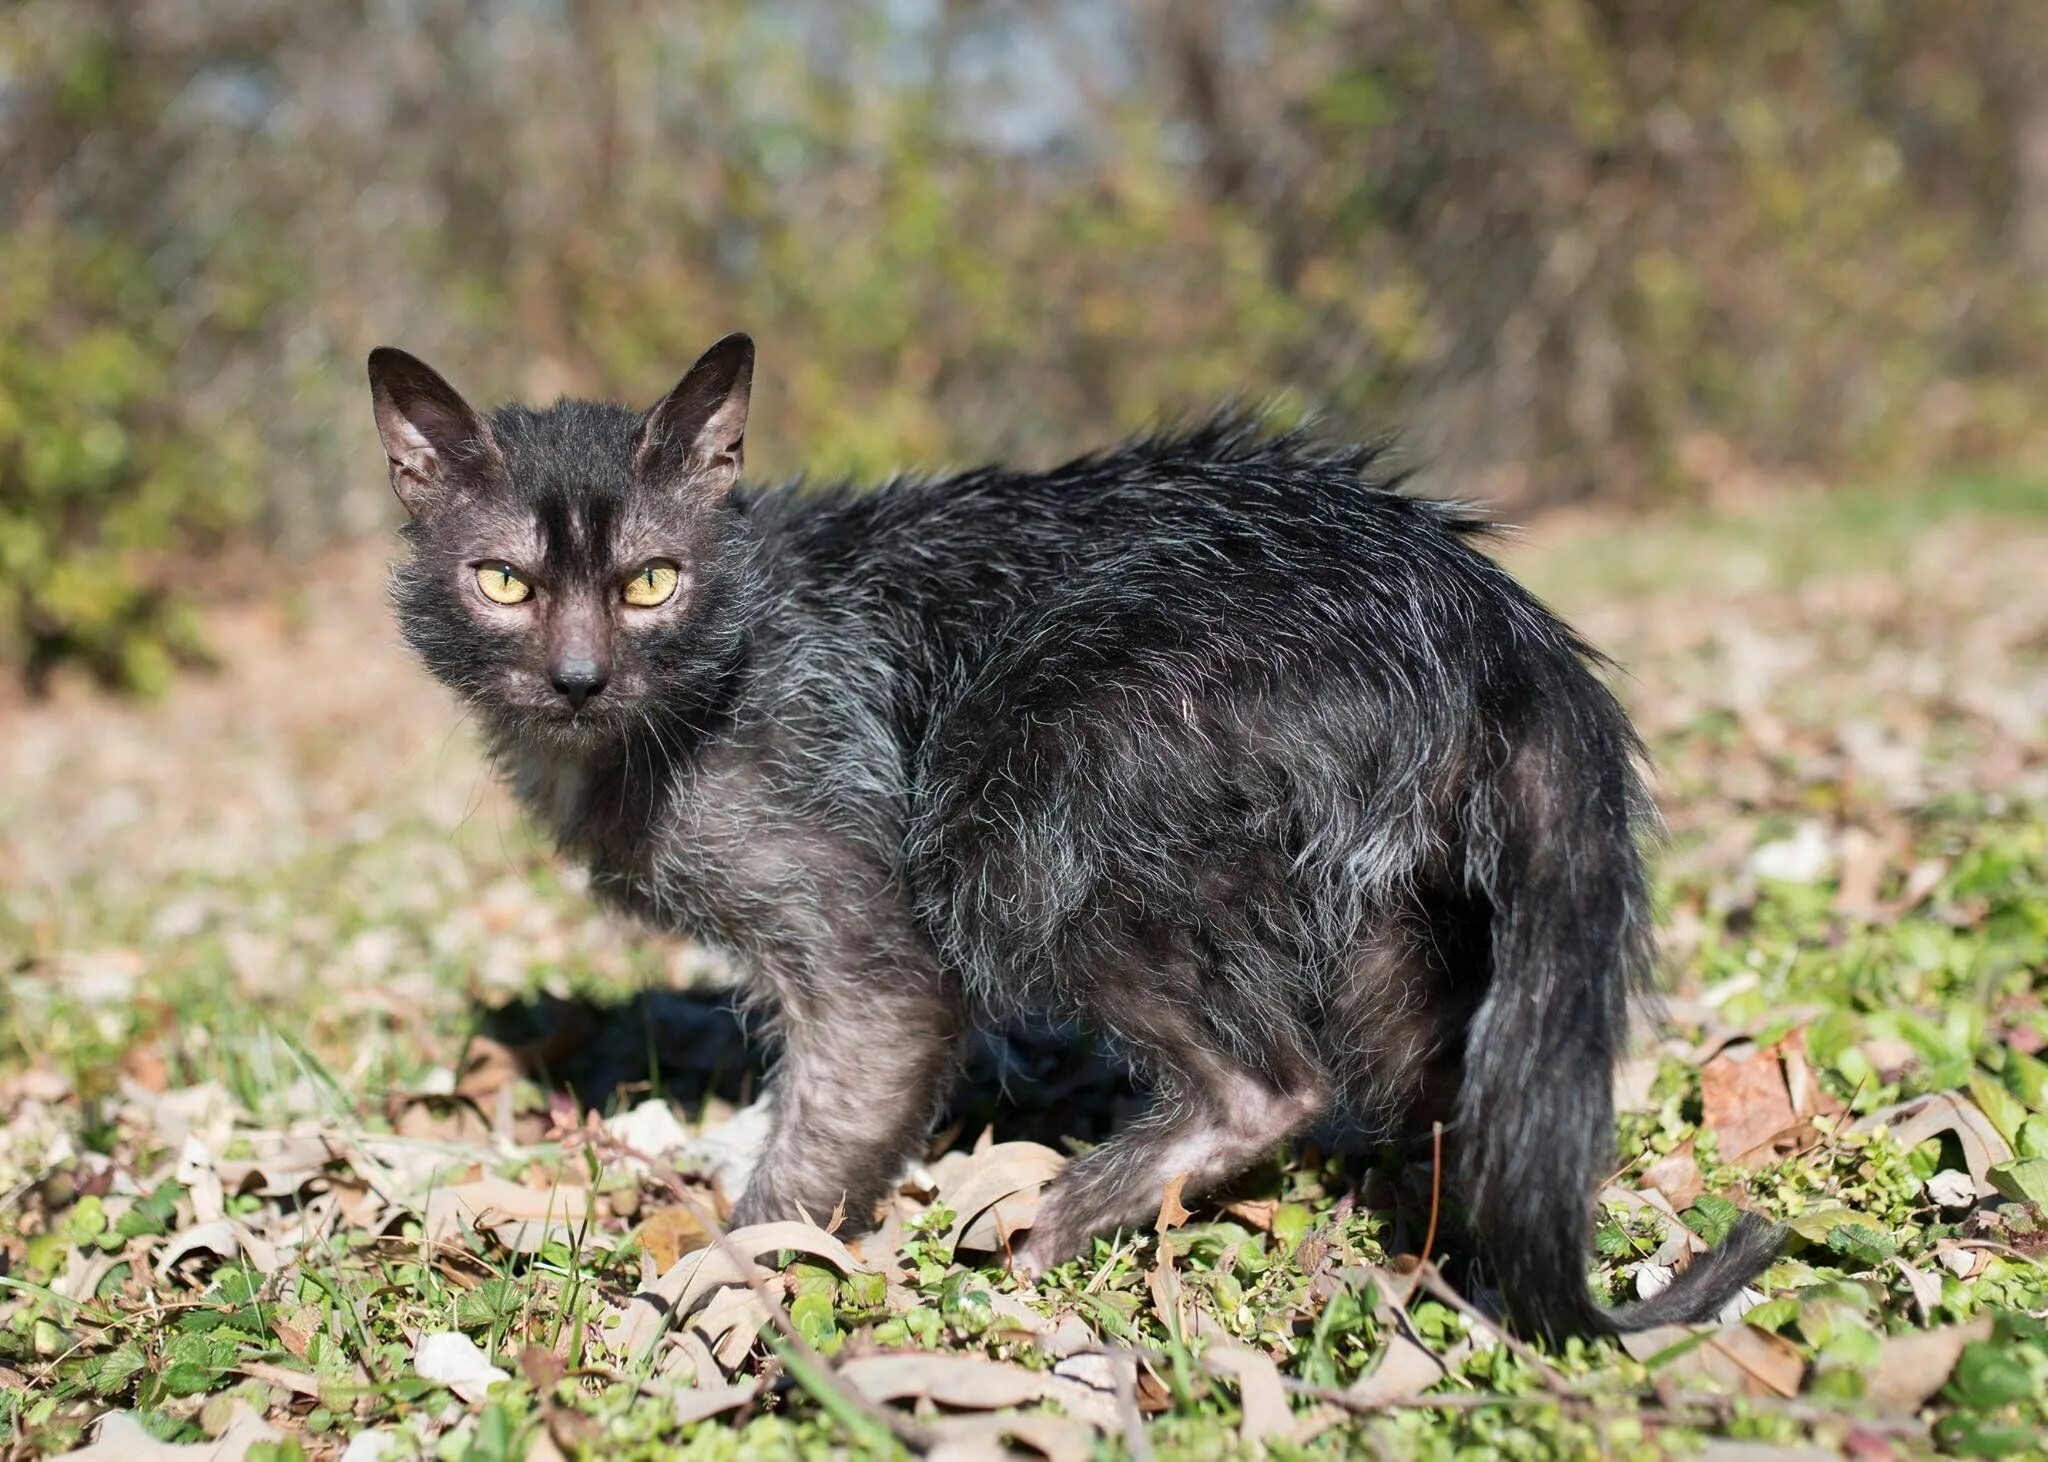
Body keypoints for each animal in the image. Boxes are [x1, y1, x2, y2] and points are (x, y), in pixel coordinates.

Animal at [364, 329, 1777, 1335]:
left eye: (653, 581)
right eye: (502, 582)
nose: (578, 677)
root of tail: (1487, 609)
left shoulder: (871, 953)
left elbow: (817, 1144)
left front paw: (710, 1295)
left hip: (1017, 812)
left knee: (1268, 1081)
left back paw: (1073, 1216)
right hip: (1383, 910)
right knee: (1421, 1079)